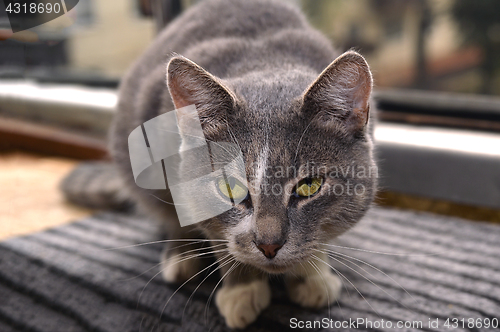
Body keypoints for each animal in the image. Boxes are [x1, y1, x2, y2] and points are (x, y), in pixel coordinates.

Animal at [108, 0, 376, 328]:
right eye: (229, 187)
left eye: (310, 186)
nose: (269, 245)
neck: (266, 63)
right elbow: (218, 234)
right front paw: (242, 290)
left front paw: (312, 276)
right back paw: (181, 257)